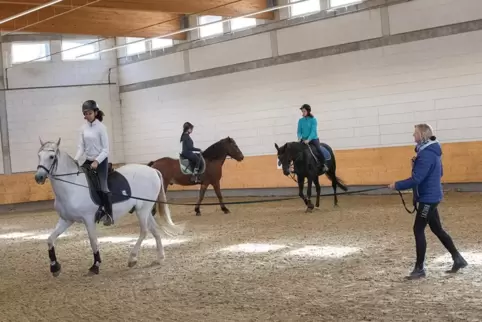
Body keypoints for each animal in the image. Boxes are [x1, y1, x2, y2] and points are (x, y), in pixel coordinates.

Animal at [34, 138, 181, 276]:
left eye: (51, 156)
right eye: (39, 155)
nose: (38, 177)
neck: (72, 187)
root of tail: (153, 170)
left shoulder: (88, 219)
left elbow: (93, 242)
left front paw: (95, 266)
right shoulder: (66, 220)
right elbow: (50, 239)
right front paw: (54, 267)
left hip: (143, 210)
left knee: (144, 231)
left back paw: (132, 258)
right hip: (144, 209)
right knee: (154, 230)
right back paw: (160, 258)